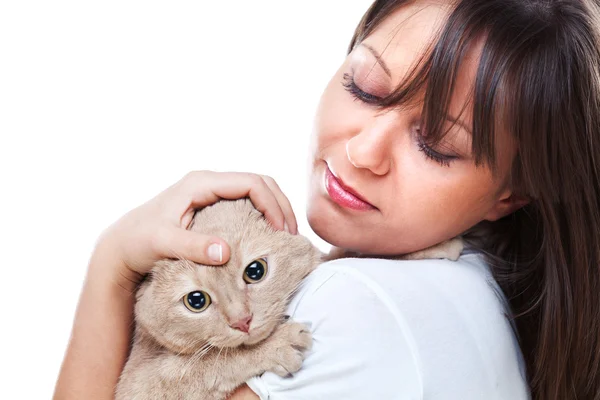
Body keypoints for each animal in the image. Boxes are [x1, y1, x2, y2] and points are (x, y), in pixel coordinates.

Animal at [116, 198, 464, 398]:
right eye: (196, 301)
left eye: (255, 271)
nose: (242, 321)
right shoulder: (139, 385)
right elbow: (206, 364)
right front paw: (276, 345)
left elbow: (347, 252)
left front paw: (430, 246)